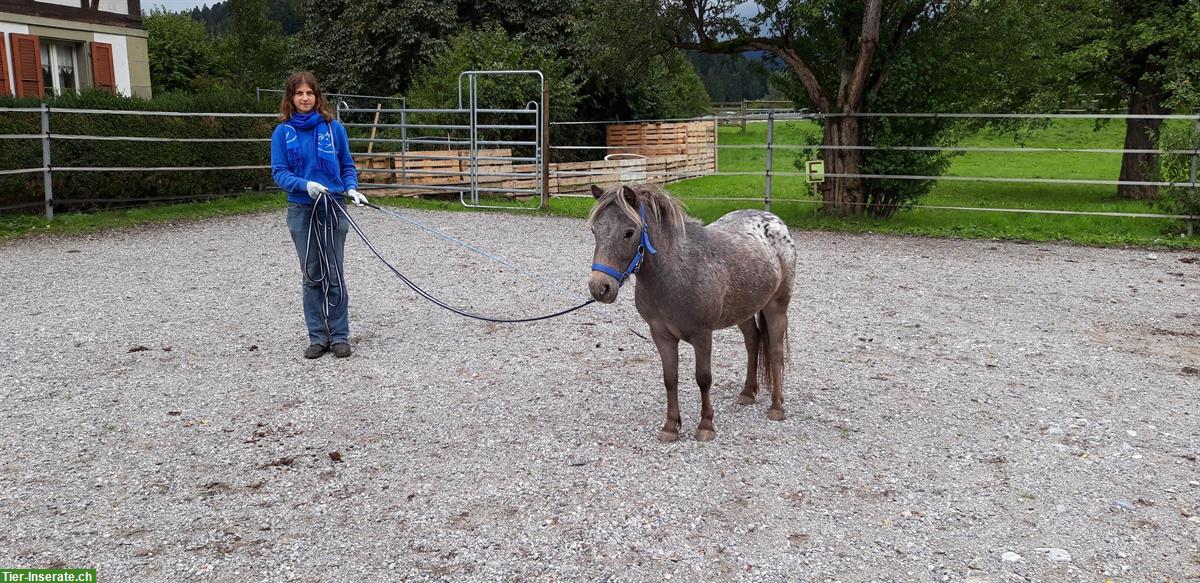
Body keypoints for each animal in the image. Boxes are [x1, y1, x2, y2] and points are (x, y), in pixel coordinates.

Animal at [588, 184, 796, 439]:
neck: (677, 272)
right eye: (595, 231)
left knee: (775, 352)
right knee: (753, 341)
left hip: (776, 306)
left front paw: (706, 425)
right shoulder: (662, 336)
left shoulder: (702, 335)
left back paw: (777, 407)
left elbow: (703, 378)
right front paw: (670, 427)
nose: (600, 287)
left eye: (628, 232)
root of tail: (775, 221)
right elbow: (670, 378)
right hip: (744, 310)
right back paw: (747, 393)